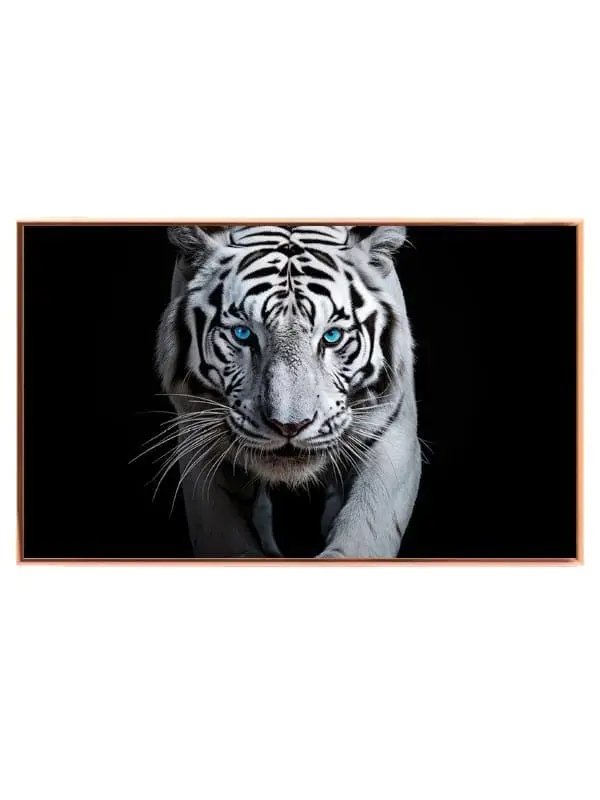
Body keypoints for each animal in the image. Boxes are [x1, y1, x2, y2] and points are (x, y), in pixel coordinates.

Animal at [154, 223, 421, 558]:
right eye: (243, 334)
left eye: (332, 336)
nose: (290, 426)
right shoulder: (199, 439)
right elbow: (227, 537)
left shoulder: (392, 433)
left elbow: (366, 528)